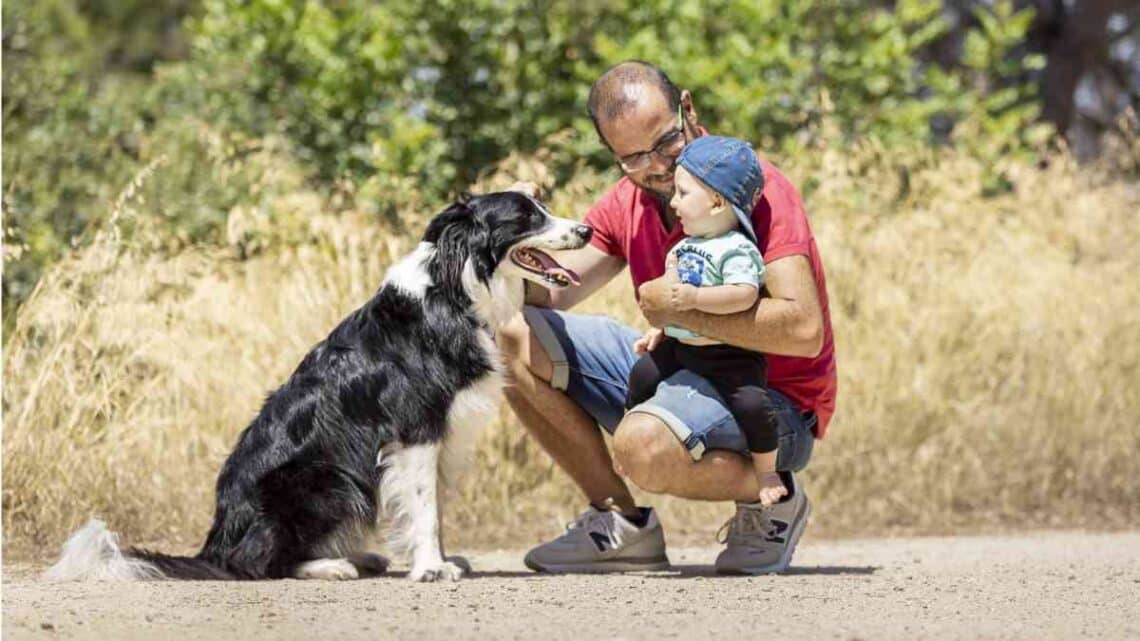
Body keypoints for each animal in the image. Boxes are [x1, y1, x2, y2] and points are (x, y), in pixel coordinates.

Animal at [46, 188, 588, 579]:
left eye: (543, 206)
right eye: (527, 217)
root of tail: (214, 542)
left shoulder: (441, 434)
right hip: (328, 480)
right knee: (255, 564)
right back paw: (333, 565)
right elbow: (424, 504)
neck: (454, 292)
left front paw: (438, 559)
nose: (584, 230)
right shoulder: (417, 430)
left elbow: (431, 505)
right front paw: (431, 568)